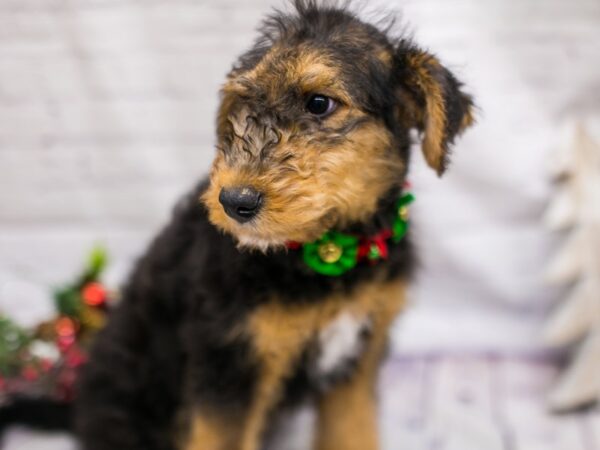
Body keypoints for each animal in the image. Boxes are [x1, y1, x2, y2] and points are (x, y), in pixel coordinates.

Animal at [75, 1, 474, 448]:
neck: (331, 250)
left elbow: (352, 430)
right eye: (243, 104)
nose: (235, 202)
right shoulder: (231, 363)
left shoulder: (356, 361)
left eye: (319, 103)